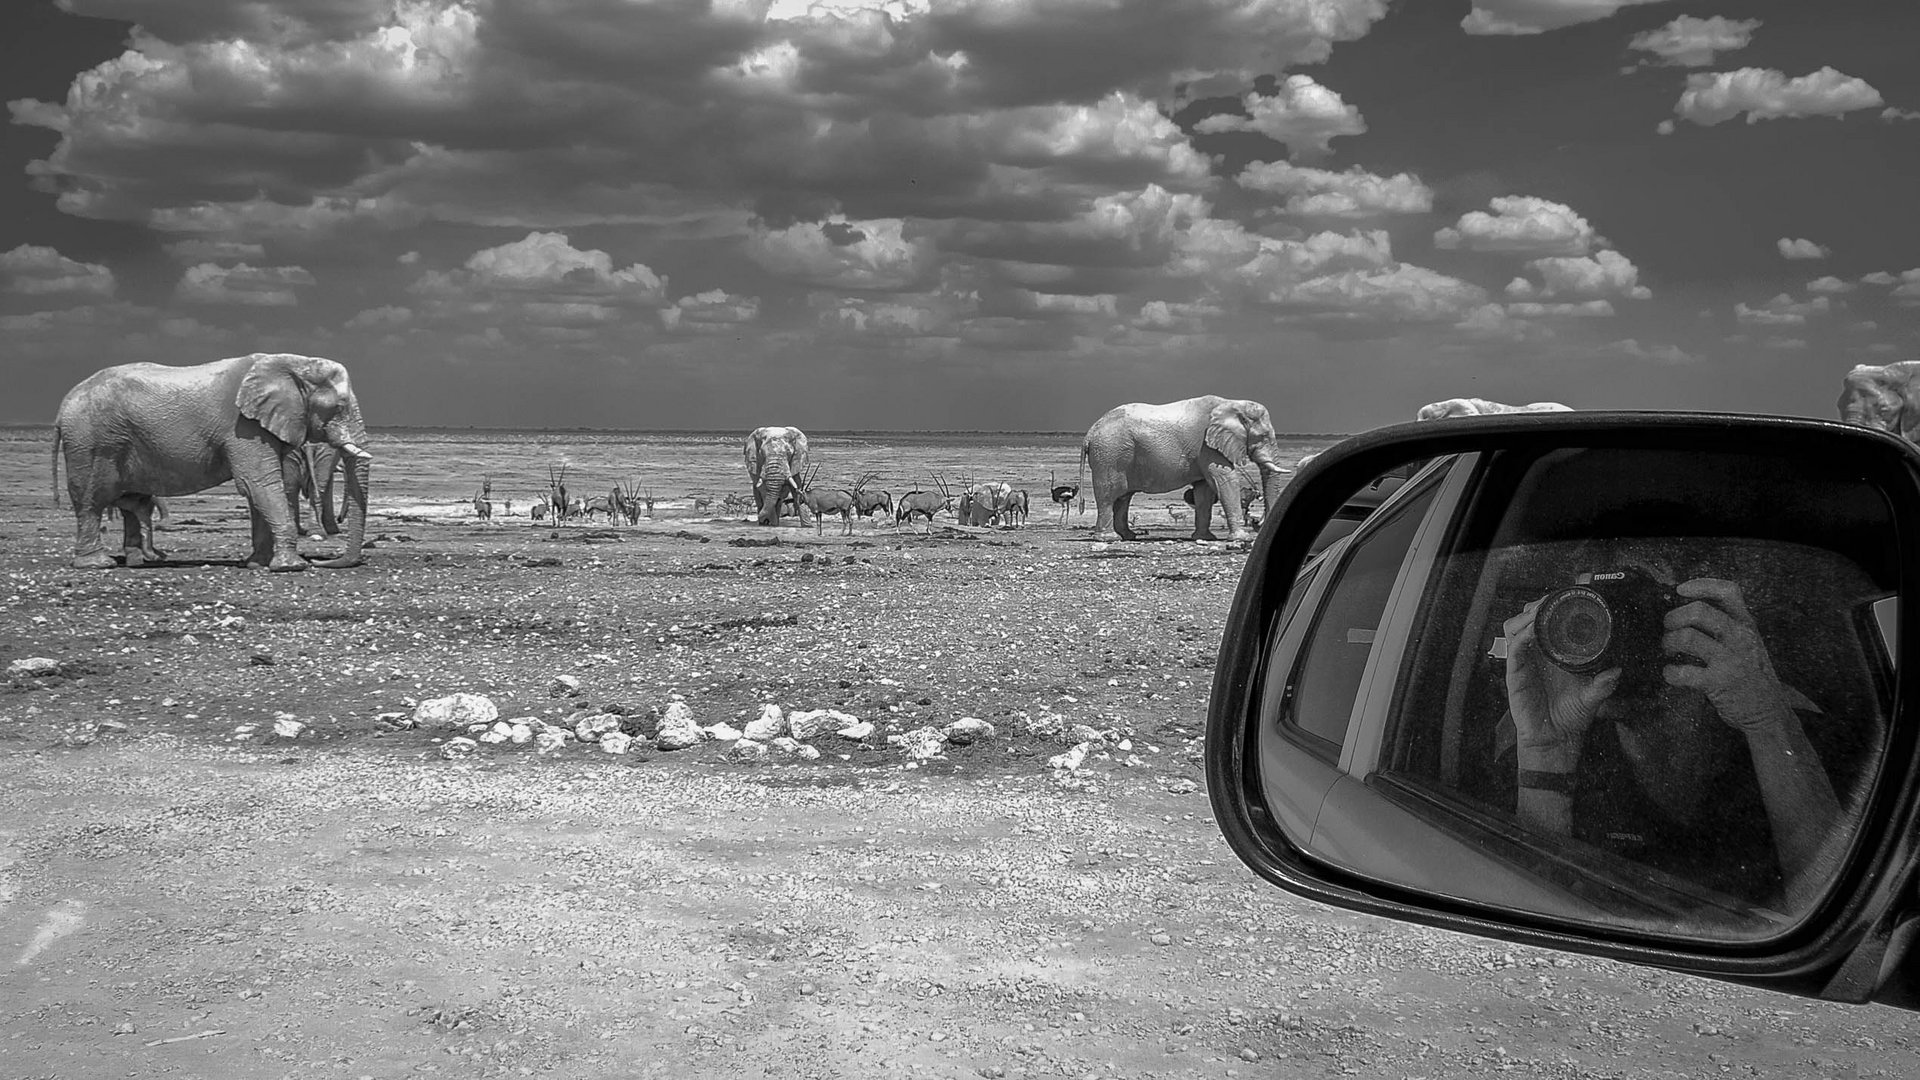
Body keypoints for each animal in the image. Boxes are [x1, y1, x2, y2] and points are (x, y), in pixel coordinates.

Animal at [51, 353, 370, 572]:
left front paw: (257, 564)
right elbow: (259, 484)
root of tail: (62, 406)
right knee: (92, 500)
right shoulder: (243, 427)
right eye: (339, 406)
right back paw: (98, 564)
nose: (321, 561)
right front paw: (292, 566)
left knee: (132, 502)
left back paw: (139, 561)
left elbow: (259, 489)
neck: (292, 363)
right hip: (91, 440)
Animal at [1082, 395, 1290, 541]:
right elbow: (1224, 479)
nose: (1257, 524)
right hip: (1109, 454)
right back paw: (1109, 538)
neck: (1232, 404)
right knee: (1109, 495)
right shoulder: (1207, 446)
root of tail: (1090, 433)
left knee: (1124, 497)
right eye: (1263, 436)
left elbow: (1204, 490)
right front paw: (1241, 538)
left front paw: (1205, 538)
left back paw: (1128, 536)